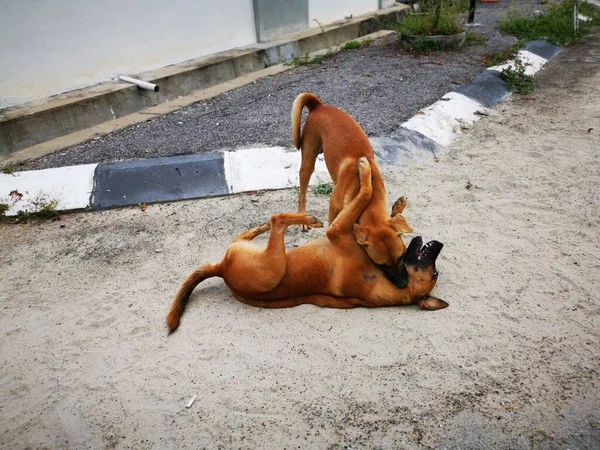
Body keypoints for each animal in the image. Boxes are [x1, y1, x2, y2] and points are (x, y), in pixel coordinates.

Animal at [166, 156, 448, 332]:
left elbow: (365, 192)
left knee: (277, 220)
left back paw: (301, 220)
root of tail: (222, 271)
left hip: (272, 267)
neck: (388, 284)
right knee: (248, 234)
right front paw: (396, 207)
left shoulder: (338, 229)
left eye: (433, 273)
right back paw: (263, 227)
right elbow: (379, 207)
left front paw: (365, 172)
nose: (440, 245)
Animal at [290, 93, 412, 286]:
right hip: (308, 161)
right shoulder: (334, 205)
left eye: (402, 256)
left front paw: (398, 206)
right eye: (380, 265)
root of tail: (319, 106)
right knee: (302, 194)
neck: (370, 202)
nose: (402, 285)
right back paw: (302, 217)